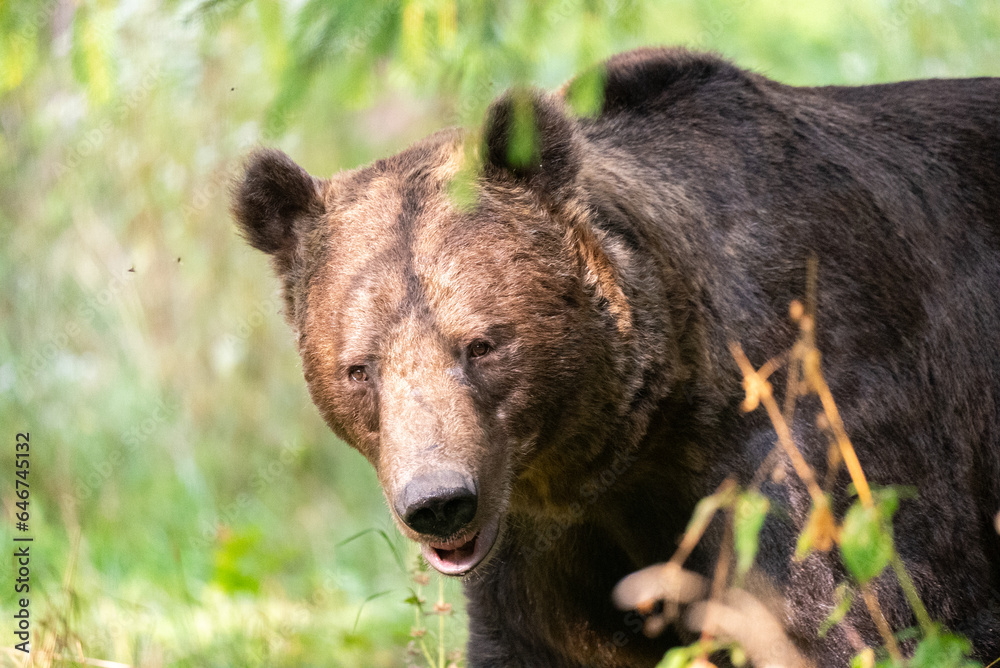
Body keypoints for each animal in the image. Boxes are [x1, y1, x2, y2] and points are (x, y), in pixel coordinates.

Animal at [232, 47, 1000, 667]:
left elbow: (864, 612)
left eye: (480, 343)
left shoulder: (810, 429)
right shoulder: (545, 548)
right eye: (360, 368)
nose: (438, 502)